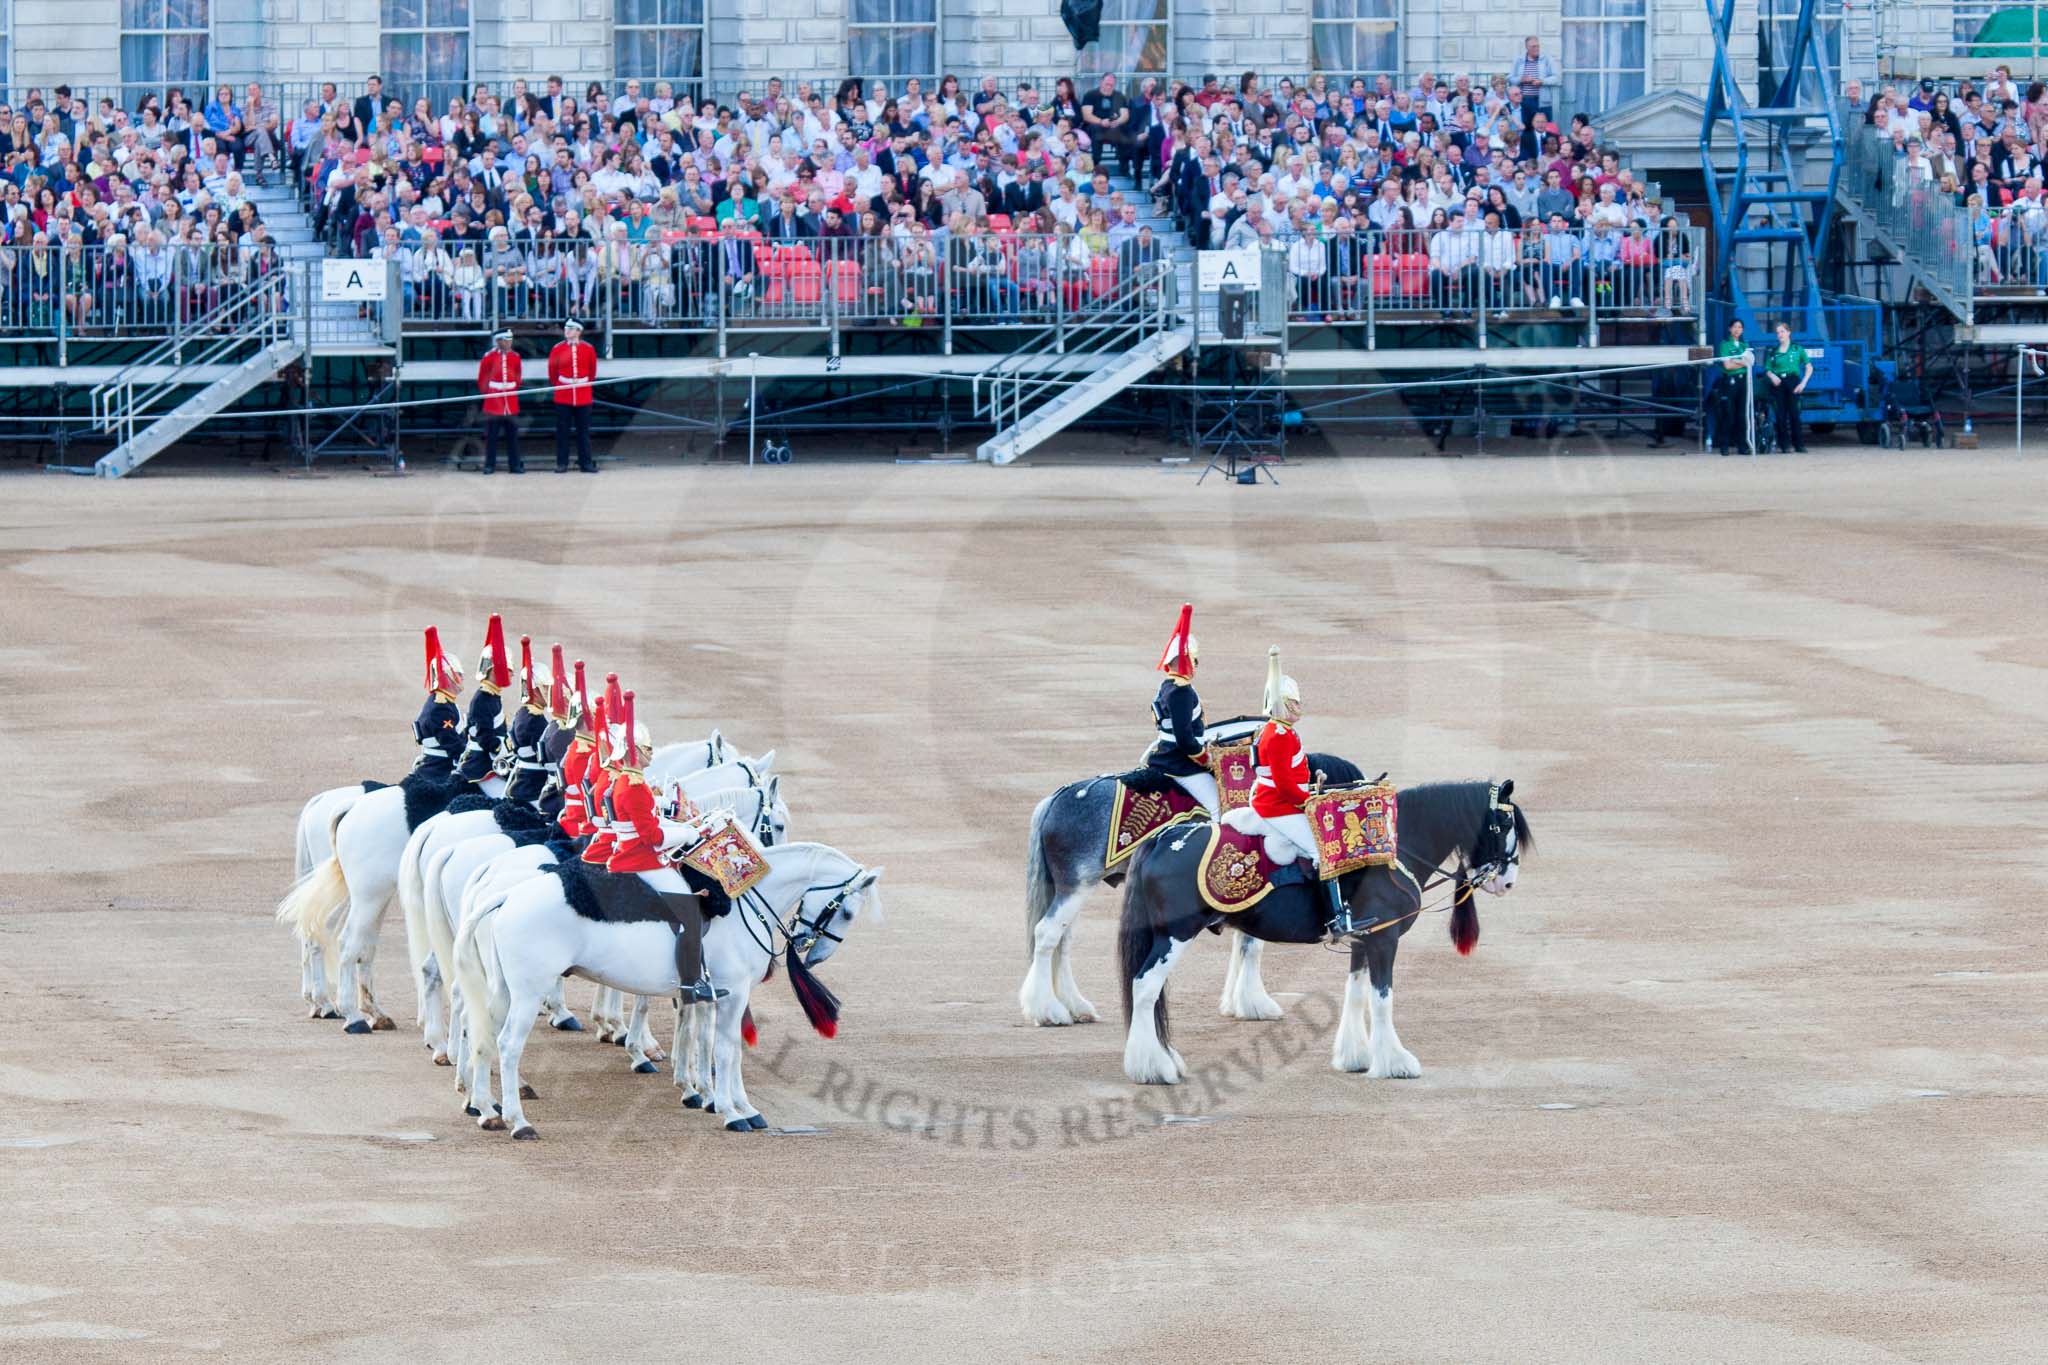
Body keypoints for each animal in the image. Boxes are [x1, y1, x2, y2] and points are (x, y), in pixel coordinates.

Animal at [452, 843, 876, 1146]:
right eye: (848, 912)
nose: (811, 950)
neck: (738, 904)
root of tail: (508, 895)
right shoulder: (733, 994)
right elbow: (725, 1050)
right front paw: (733, 1111)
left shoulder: (711, 995)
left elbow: (710, 1043)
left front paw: (723, 1100)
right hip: (527, 992)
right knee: (508, 1045)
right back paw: (517, 1120)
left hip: (502, 991)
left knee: (482, 1034)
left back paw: (486, 1109)